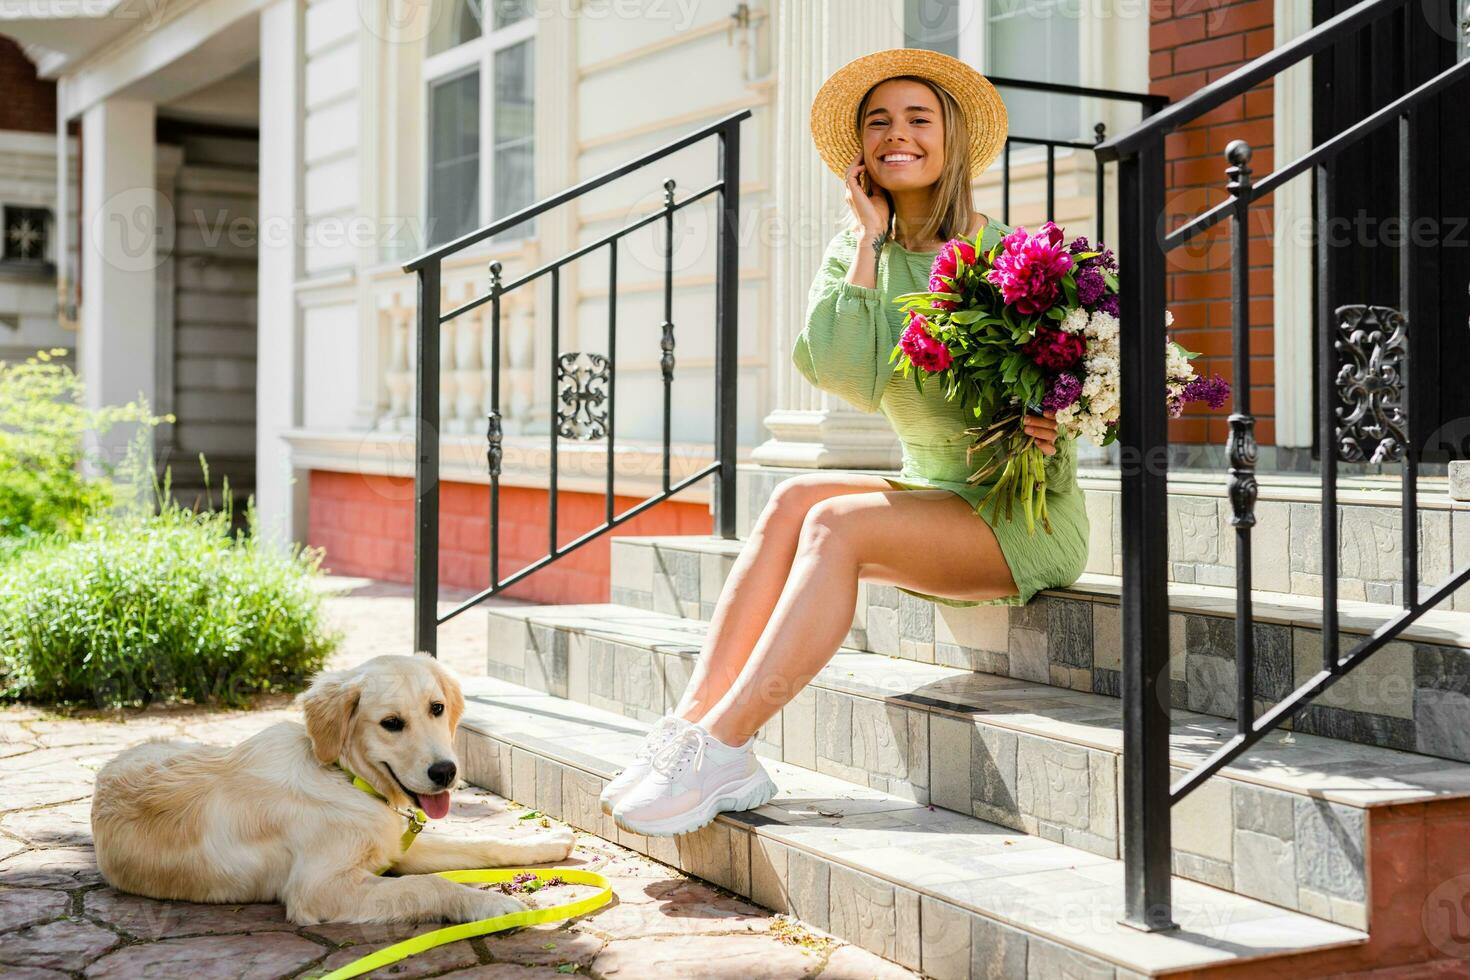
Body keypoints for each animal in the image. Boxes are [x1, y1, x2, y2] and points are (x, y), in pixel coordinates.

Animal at [90, 655, 573, 922]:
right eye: (391, 723)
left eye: (437, 708)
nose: (445, 772)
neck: (344, 777)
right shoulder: (320, 888)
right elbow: (430, 886)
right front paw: (490, 906)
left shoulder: (394, 847)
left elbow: (483, 844)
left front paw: (545, 843)